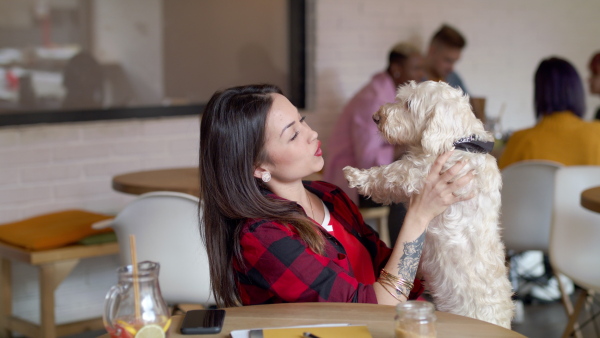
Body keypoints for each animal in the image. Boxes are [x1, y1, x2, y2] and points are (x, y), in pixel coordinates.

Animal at [344, 79, 512, 328]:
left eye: (409, 105)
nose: (376, 117)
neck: (458, 142)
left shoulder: (418, 173)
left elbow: (388, 174)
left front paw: (357, 176)